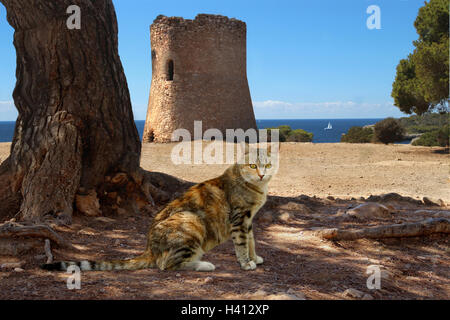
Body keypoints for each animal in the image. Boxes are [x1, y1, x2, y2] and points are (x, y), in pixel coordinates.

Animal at [43, 145, 274, 272]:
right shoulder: (239, 219)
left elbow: (252, 241)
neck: (257, 187)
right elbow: (242, 243)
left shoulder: (248, 220)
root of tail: (148, 248)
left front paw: (254, 258)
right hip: (191, 220)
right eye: (253, 165)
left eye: (268, 165)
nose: (262, 174)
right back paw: (204, 264)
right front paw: (246, 263)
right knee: (166, 264)